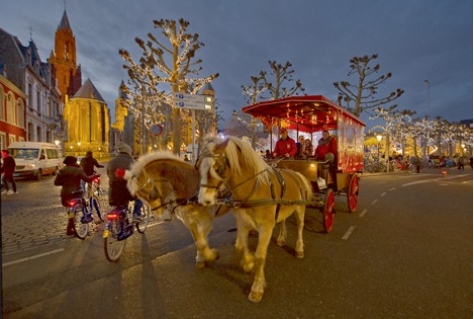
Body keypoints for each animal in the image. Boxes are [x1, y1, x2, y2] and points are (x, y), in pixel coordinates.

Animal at [196, 136, 314, 304]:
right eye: (199, 166)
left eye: (217, 168)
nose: (202, 200)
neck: (254, 188)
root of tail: (297, 174)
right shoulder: (242, 223)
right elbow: (240, 247)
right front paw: (248, 263)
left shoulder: (265, 228)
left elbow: (260, 255)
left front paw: (257, 288)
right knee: (283, 220)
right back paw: (281, 238)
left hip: (299, 208)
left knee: (299, 227)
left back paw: (299, 248)